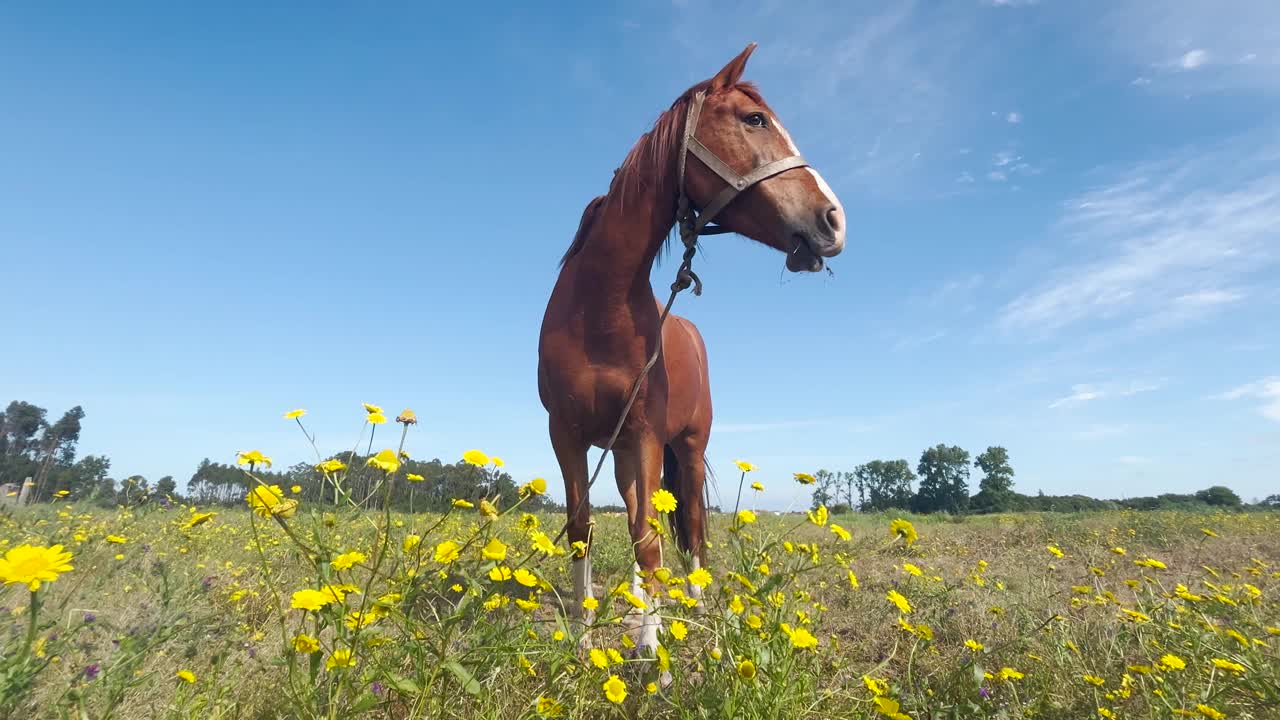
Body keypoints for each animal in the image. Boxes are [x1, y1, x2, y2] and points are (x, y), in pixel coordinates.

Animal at [535, 44, 844, 650]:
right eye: (755, 119)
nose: (834, 219)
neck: (598, 311)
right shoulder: (569, 435)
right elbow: (585, 529)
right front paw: (582, 641)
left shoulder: (646, 434)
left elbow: (652, 536)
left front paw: (651, 647)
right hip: (625, 453)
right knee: (643, 512)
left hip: (689, 448)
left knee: (691, 528)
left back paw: (698, 609)